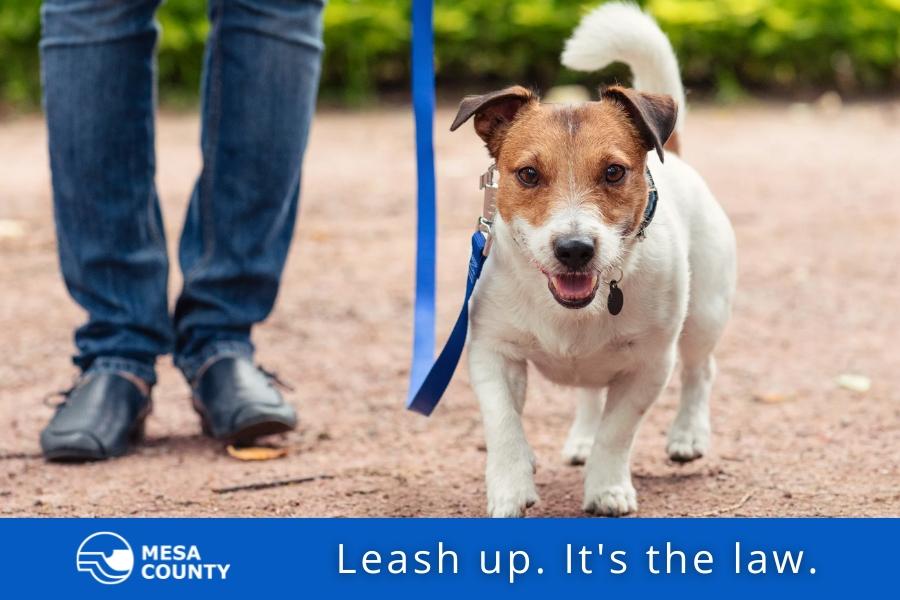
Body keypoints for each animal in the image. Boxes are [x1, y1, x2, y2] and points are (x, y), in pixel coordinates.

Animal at [450, 1, 740, 516]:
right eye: (528, 174)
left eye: (614, 171)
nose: (574, 249)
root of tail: (675, 156)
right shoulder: (491, 352)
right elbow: (503, 426)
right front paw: (511, 487)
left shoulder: (649, 365)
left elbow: (618, 432)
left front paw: (607, 488)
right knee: (589, 393)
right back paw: (581, 439)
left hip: (705, 313)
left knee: (700, 370)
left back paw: (687, 435)